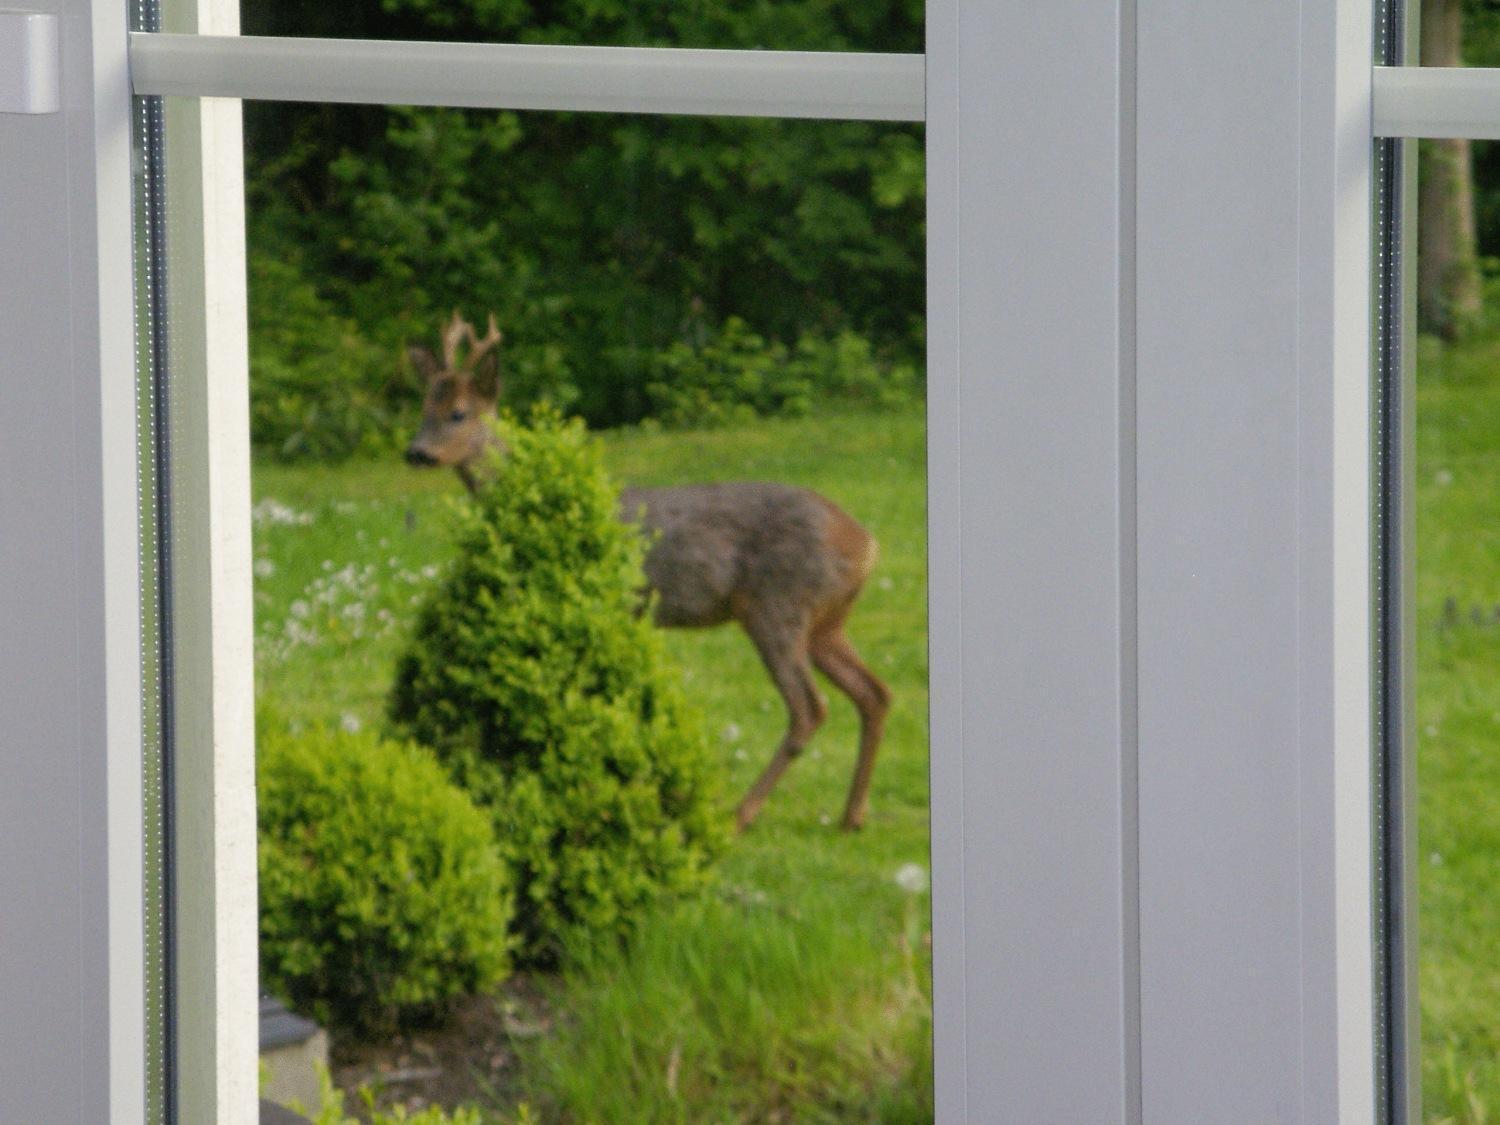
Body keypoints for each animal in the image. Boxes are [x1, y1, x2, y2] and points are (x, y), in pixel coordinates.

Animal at [402, 313, 888, 834]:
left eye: (459, 412)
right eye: (423, 406)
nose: (416, 452)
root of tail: (866, 544)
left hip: (779, 605)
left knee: (809, 707)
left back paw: (740, 815)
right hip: (826, 621)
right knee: (874, 693)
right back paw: (852, 816)